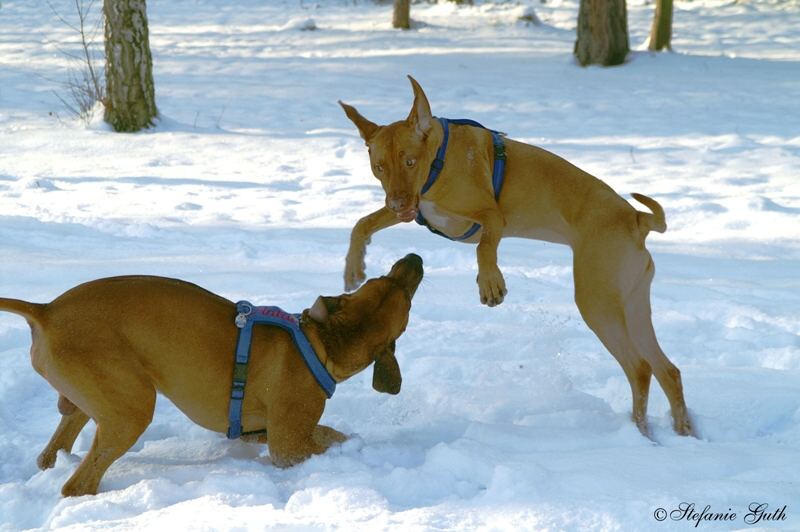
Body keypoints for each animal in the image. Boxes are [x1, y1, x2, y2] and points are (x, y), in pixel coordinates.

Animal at [0, 252, 424, 494]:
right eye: (396, 288)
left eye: (380, 280)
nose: (415, 257)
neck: (321, 343)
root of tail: (46, 310)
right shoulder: (287, 446)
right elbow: (325, 440)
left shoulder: (260, 431)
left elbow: (326, 431)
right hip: (130, 406)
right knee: (78, 483)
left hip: (89, 399)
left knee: (53, 451)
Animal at [338, 77, 692, 438]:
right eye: (379, 167)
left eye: (409, 161)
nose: (397, 203)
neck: (438, 161)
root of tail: (636, 218)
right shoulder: (415, 208)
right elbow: (362, 223)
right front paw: (354, 267)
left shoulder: (491, 217)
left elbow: (484, 247)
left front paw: (490, 282)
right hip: (633, 303)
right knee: (668, 370)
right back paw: (678, 433)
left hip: (598, 302)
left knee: (640, 368)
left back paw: (642, 435)